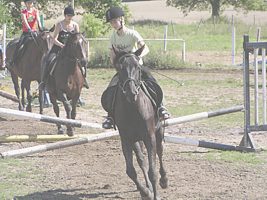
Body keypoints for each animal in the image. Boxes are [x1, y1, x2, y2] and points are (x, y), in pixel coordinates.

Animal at [102, 46, 168, 199]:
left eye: (138, 67)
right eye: (119, 68)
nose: (131, 92)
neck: (132, 109)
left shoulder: (149, 137)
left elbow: (152, 170)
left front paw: (155, 193)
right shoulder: (126, 139)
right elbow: (131, 171)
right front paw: (146, 192)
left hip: (158, 131)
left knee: (160, 152)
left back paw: (164, 180)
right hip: (135, 140)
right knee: (141, 160)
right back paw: (147, 187)